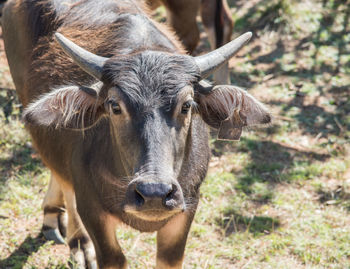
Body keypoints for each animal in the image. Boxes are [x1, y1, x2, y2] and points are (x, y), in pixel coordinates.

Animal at [2, 0, 270, 268]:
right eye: (114, 106)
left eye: (186, 105)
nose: (154, 193)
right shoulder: (91, 208)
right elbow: (113, 256)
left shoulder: (187, 209)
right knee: (61, 175)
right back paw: (77, 240)